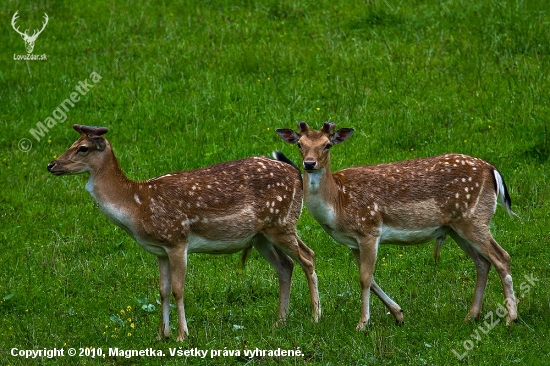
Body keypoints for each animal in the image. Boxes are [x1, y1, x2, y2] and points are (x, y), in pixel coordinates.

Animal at [48, 124, 324, 342]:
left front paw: (182, 335)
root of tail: (297, 174)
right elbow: (162, 290)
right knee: (286, 265)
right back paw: (280, 321)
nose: (51, 165)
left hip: (282, 222)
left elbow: (178, 289)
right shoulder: (159, 250)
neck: (137, 206)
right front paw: (162, 334)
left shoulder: (177, 240)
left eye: (83, 148)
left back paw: (315, 317)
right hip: (261, 236)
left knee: (308, 256)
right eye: (71, 143)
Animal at [278, 121, 520, 330]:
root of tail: (493, 171)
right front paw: (399, 314)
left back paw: (511, 318)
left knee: (502, 257)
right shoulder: (353, 242)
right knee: (482, 262)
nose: (309, 163)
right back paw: (471, 315)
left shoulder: (369, 229)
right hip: (456, 228)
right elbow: (370, 279)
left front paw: (362, 324)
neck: (337, 202)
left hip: (474, 219)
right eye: (300, 144)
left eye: (327, 145)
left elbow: (364, 278)